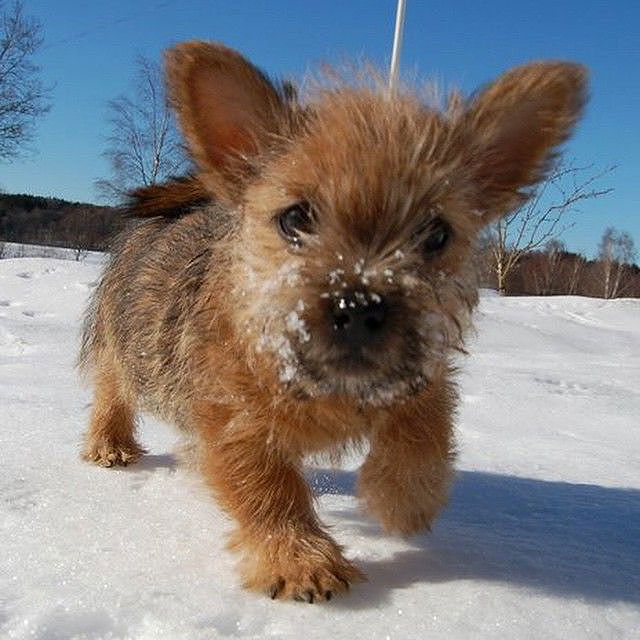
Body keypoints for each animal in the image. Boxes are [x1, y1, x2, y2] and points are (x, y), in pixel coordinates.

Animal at [79, 42, 584, 604]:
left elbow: (425, 425)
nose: (359, 307)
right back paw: (110, 443)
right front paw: (299, 558)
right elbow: (266, 487)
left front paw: (403, 498)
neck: (327, 386)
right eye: (295, 219)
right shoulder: (232, 417)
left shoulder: (419, 374)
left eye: (436, 234)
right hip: (122, 345)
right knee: (111, 390)